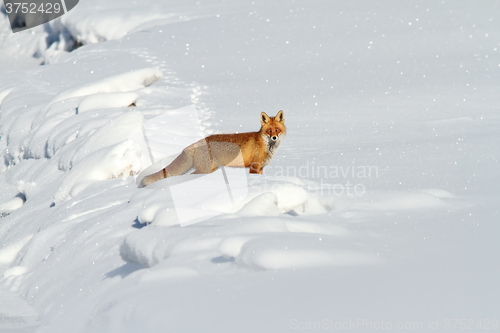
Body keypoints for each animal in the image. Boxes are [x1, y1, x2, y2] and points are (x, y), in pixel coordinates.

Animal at [139, 109, 288, 185]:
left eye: (277, 130)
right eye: (269, 131)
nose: (274, 138)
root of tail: (196, 143)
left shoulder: (261, 168)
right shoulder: (254, 167)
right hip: (204, 169)